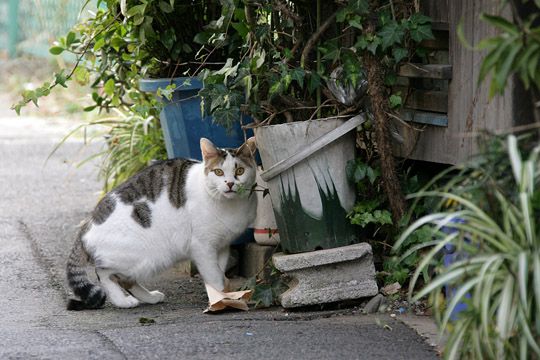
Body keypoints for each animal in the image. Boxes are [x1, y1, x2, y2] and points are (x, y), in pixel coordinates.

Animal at [65, 136, 258, 310]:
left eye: (240, 171)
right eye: (218, 172)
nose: (230, 183)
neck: (229, 205)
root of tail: (87, 225)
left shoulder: (222, 245)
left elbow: (220, 271)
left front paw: (224, 294)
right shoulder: (202, 247)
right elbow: (215, 277)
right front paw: (222, 300)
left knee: (126, 280)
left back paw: (150, 297)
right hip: (142, 255)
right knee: (104, 273)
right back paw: (122, 301)